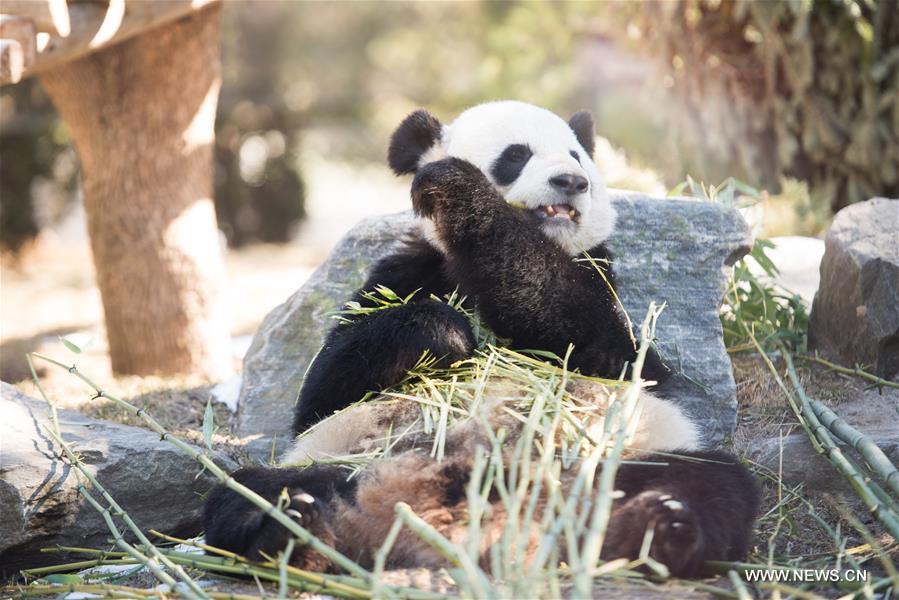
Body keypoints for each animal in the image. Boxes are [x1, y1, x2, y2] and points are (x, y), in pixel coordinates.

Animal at [206, 101, 760, 580]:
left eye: (576, 155)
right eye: (516, 155)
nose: (572, 182)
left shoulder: (603, 281)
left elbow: (607, 345)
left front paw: (460, 192)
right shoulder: (402, 272)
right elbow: (321, 393)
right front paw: (444, 332)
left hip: (623, 455)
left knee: (709, 483)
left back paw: (656, 529)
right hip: (344, 459)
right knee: (250, 490)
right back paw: (293, 531)